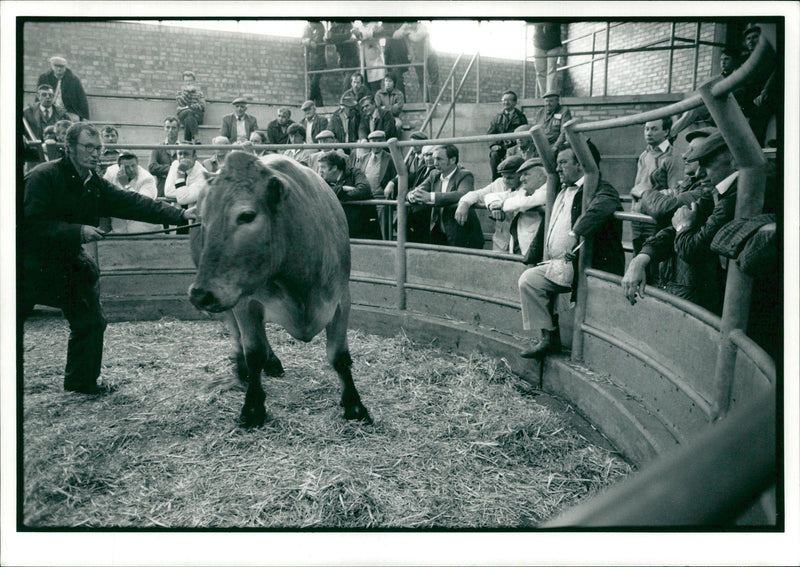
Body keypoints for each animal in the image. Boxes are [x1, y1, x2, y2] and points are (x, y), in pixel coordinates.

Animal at [188, 153, 372, 428]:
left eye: (247, 215)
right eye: (204, 221)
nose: (199, 295)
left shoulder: (340, 299)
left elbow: (339, 355)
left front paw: (354, 405)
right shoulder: (245, 301)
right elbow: (253, 352)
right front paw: (253, 407)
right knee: (237, 334)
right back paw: (245, 368)